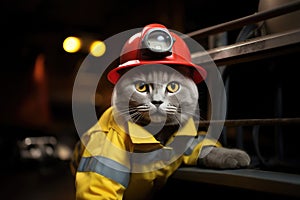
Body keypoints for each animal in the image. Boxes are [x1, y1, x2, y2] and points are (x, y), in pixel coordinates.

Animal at [72, 63, 251, 199]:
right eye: (141, 87)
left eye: (173, 86)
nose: (157, 101)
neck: (157, 134)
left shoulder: (185, 143)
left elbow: (204, 147)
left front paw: (236, 156)